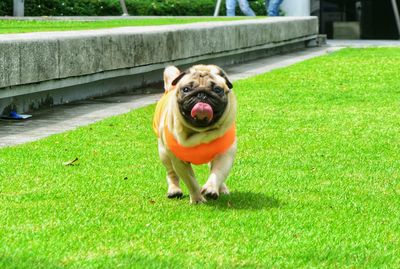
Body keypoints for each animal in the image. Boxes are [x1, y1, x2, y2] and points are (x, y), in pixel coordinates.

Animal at [152, 64, 236, 203]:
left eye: (217, 89)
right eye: (186, 89)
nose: (202, 94)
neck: (199, 131)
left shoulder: (225, 154)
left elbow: (218, 172)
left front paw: (211, 189)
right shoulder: (179, 162)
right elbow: (191, 182)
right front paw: (197, 199)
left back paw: (222, 189)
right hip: (164, 154)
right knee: (171, 173)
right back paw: (174, 190)